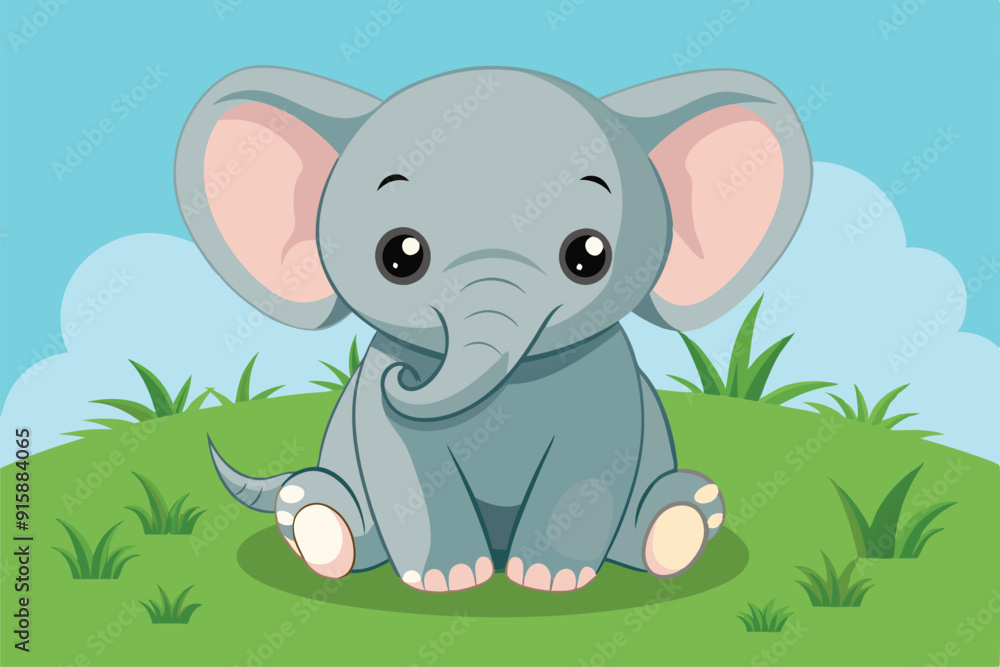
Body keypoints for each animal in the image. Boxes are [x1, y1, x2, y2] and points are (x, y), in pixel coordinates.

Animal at [174, 65, 811, 592]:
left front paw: (550, 581)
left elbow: (591, 464)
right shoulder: (379, 410)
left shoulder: (607, 383)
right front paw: (449, 581)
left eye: (589, 256)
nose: (405, 377)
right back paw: (318, 525)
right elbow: (406, 468)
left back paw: (677, 524)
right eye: (399, 257)